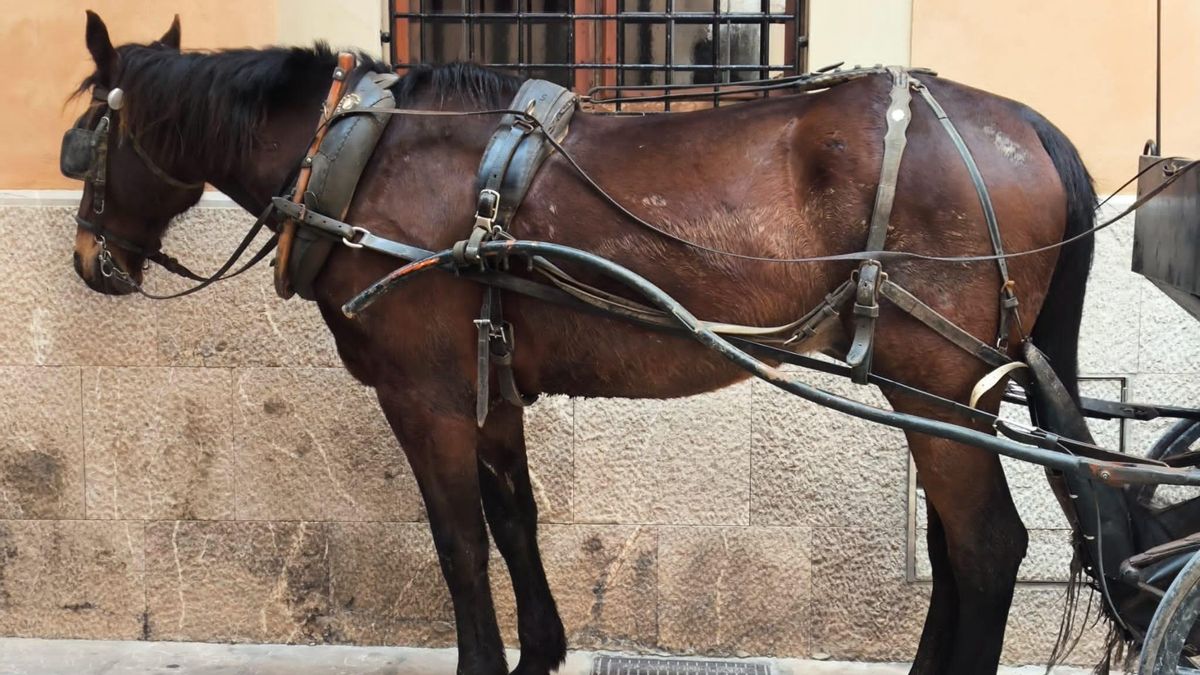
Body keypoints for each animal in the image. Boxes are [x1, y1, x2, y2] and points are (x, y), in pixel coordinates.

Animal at [64, 11, 1096, 675]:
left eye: (85, 145)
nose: (88, 259)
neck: (360, 156)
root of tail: (1028, 125)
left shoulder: (424, 395)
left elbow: (458, 540)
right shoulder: (489, 384)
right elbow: (514, 519)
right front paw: (541, 653)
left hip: (933, 380)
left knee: (988, 546)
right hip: (949, 394)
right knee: (953, 545)